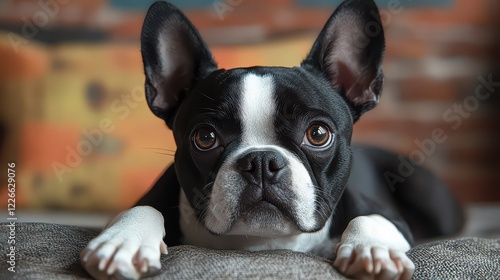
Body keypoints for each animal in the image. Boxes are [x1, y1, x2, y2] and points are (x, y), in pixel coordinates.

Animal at [81, 1, 460, 278]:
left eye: (318, 134)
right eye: (205, 137)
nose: (261, 161)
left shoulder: (388, 215)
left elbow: (369, 217)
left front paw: (373, 251)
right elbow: (142, 207)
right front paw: (124, 242)